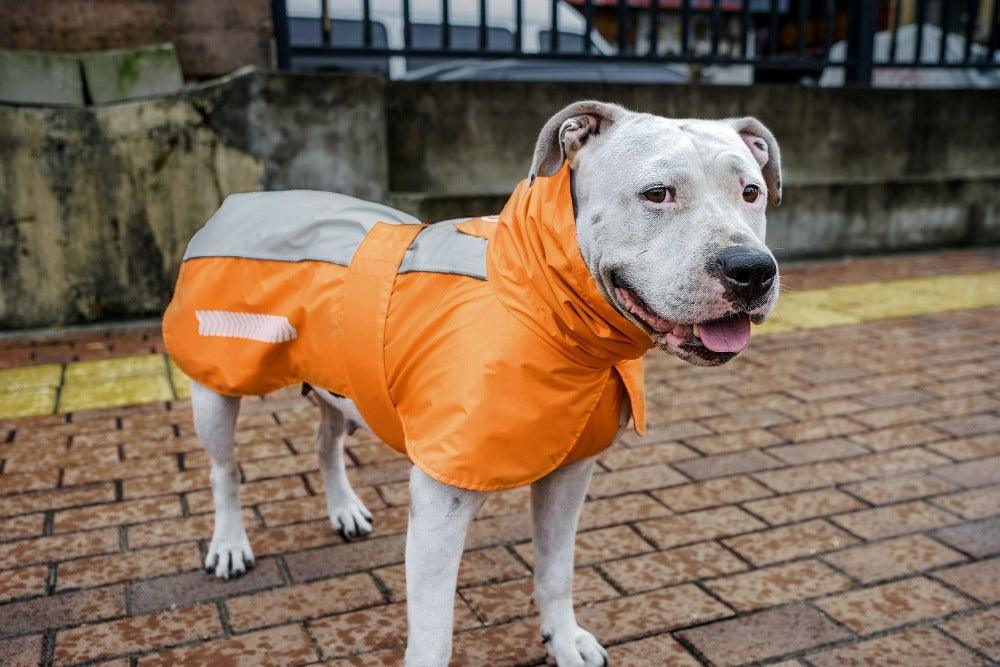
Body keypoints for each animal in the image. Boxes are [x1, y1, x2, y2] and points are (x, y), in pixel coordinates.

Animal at [184, 102, 784, 664]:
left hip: (336, 381)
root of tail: (241, 200)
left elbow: (556, 571)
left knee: (325, 439)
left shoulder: (570, 476)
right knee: (224, 471)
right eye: (657, 194)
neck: (541, 305)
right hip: (215, 385)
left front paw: (563, 639)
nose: (752, 270)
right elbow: (433, 635)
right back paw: (230, 544)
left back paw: (343, 509)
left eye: (751, 192)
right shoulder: (439, 505)